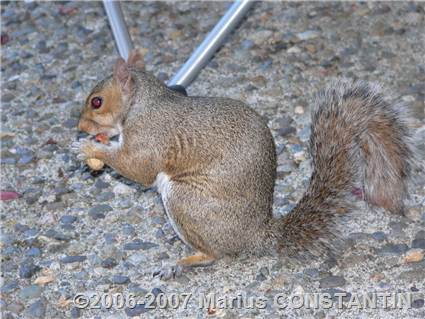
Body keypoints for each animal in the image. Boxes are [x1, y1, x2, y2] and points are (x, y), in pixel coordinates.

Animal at [71, 50, 412, 280]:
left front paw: (90, 149)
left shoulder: (150, 136)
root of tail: (257, 235)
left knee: (215, 254)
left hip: (184, 200)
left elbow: (137, 167)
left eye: (97, 101)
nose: (80, 127)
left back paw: (182, 262)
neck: (142, 103)